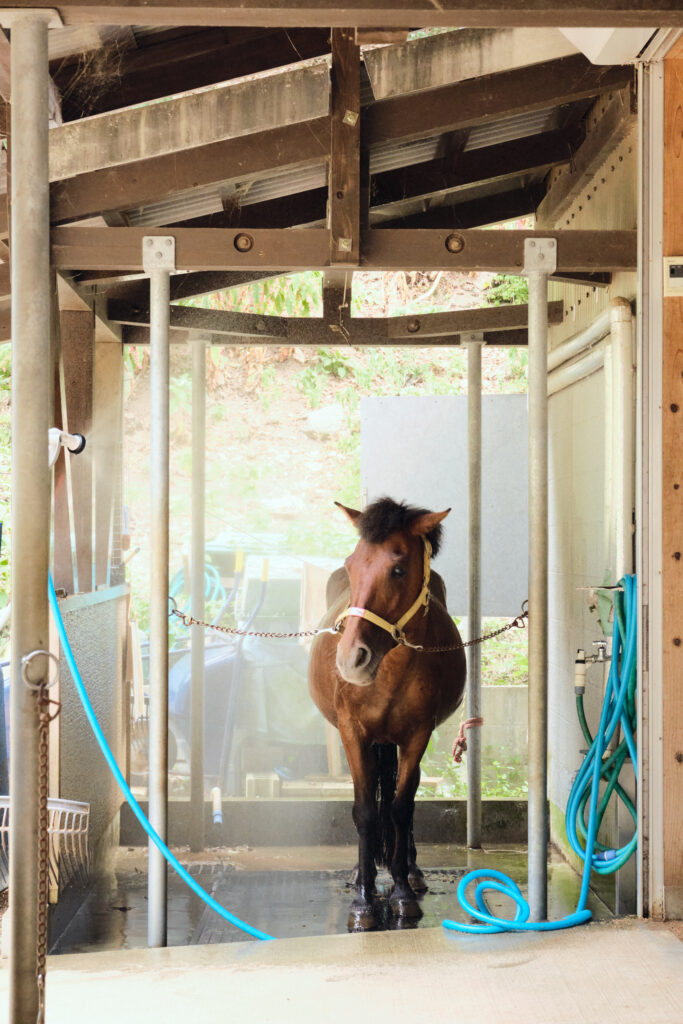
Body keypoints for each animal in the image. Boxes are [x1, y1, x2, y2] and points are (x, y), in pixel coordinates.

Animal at [308, 497, 467, 930]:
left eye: (398, 569)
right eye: (351, 565)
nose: (351, 659)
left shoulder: (417, 735)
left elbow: (400, 807)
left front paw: (401, 891)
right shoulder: (353, 733)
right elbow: (364, 811)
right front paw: (364, 899)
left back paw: (410, 871)